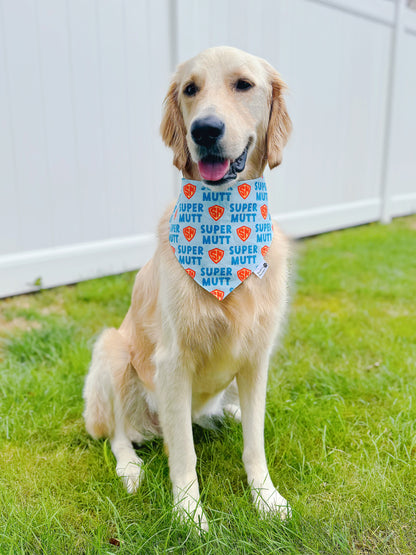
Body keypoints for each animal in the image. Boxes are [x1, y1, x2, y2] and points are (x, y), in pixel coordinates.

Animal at [83, 45, 292, 532]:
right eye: (190, 89)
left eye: (243, 84)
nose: (205, 130)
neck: (224, 222)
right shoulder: (173, 362)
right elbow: (183, 455)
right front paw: (189, 515)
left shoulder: (256, 357)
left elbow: (255, 443)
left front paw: (266, 498)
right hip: (113, 353)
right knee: (118, 435)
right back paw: (130, 469)